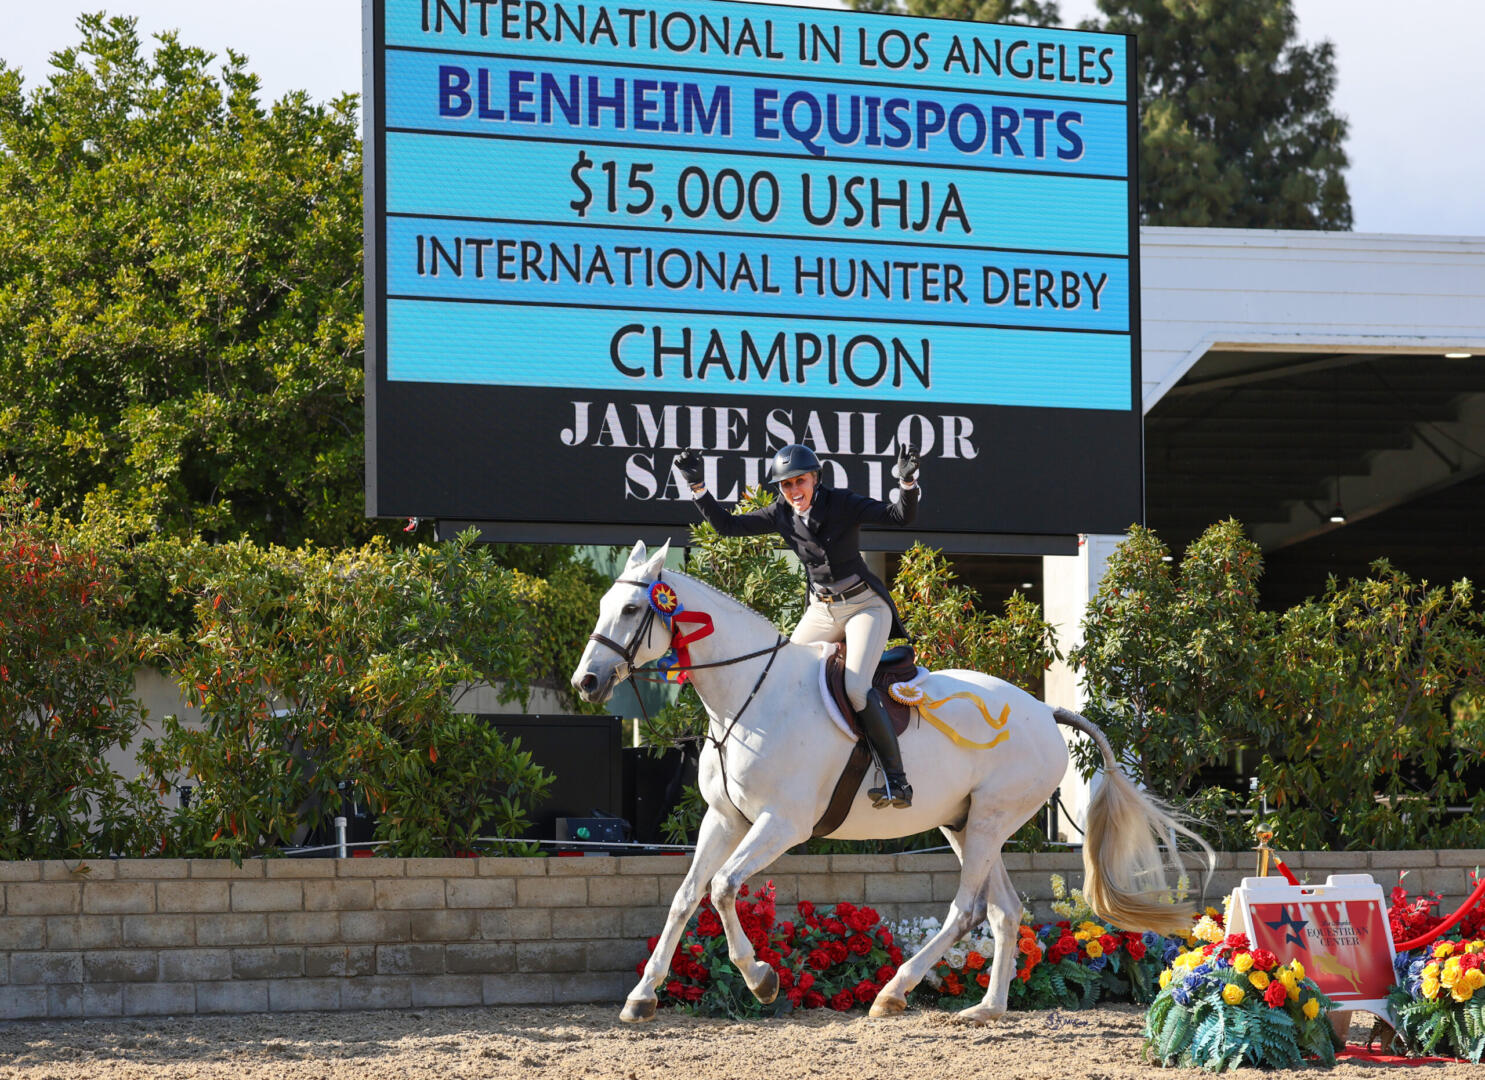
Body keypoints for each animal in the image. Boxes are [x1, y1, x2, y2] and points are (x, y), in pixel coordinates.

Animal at [567, 543, 1205, 1028]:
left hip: (990, 819)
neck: (749, 694)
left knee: (965, 910)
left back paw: (894, 991)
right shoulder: (725, 819)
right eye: (603, 605)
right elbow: (685, 896)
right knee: (1004, 911)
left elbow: (723, 888)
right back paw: (987, 1009)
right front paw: (641, 998)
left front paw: (763, 980)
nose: (587, 682)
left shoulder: (783, 824)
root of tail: (1043, 711)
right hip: (966, 824)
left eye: (631, 608)